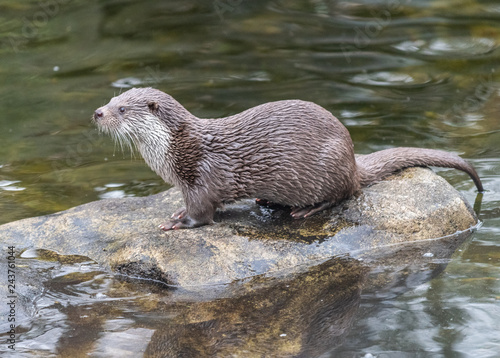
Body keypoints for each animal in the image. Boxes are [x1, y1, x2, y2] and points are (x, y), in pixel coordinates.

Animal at [94, 88, 484, 231]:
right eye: (111, 99)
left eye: (122, 109)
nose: (98, 112)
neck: (177, 150)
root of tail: (352, 159)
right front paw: (176, 212)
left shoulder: (202, 178)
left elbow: (202, 214)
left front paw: (177, 222)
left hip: (330, 166)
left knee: (346, 194)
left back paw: (305, 210)